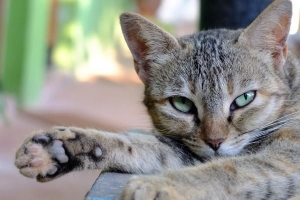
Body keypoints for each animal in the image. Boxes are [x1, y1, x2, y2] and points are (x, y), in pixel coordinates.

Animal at [14, 0, 300, 199]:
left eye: (244, 99)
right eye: (182, 104)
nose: (215, 142)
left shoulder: (289, 155)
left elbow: (231, 170)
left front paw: (160, 185)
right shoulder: (192, 149)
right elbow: (143, 146)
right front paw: (62, 147)